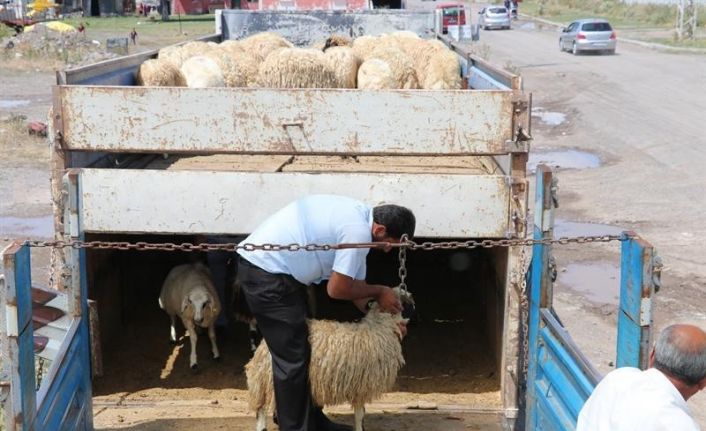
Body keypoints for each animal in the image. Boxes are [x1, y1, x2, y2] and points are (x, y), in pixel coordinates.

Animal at [246, 288, 412, 431]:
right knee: (264, 408)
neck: (379, 327)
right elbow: (360, 414)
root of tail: (263, 346)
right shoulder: (361, 386)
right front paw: (360, 428)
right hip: (268, 379)